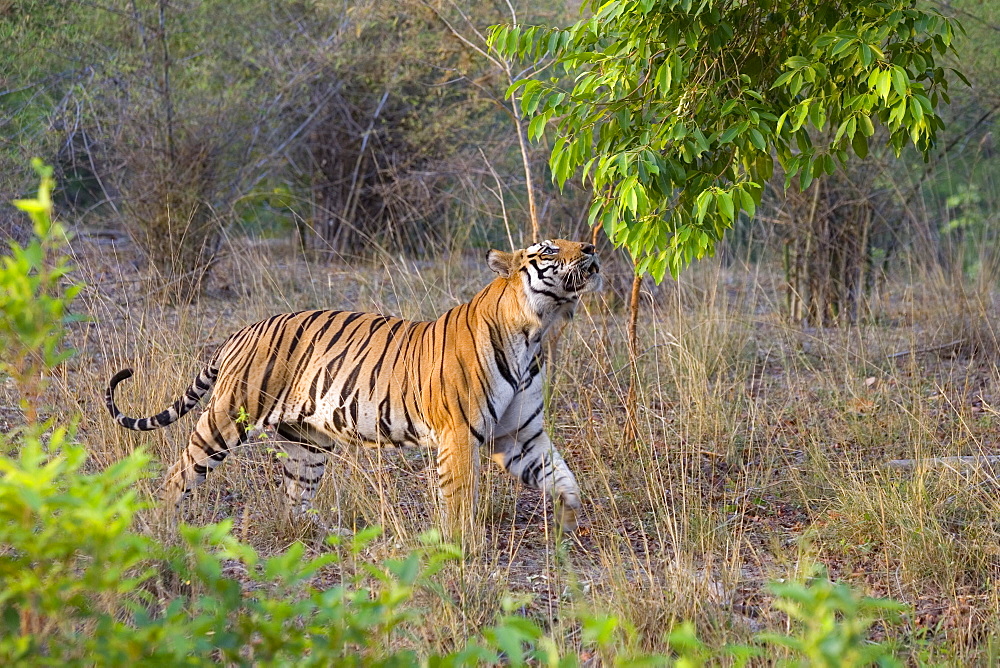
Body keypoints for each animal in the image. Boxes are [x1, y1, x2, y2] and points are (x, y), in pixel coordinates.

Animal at [107, 237, 600, 536]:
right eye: (549, 249)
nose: (592, 245)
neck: (535, 331)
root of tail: (244, 329)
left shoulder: (520, 436)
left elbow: (564, 479)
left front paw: (570, 526)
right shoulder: (461, 434)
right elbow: (459, 498)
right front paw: (462, 547)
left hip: (308, 443)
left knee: (294, 505)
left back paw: (329, 537)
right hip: (229, 416)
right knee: (179, 474)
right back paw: (161, 531)